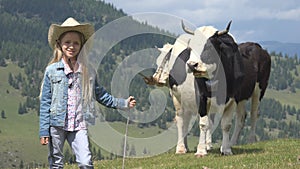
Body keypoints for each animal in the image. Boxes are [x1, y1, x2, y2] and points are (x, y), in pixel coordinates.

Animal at [185, 21, 272, 155]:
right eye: (190, 46)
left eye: (209, 47)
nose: (191, 65)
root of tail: (257, 46)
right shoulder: (202, 96)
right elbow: (205, 123)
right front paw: (202, 149)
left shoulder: (232, 98)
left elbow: (226, 124)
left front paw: (225, 149)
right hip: (242, 96)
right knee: (241, 117)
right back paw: (232, 142)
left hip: (259, 89)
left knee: (254, 114)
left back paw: (250, 140)